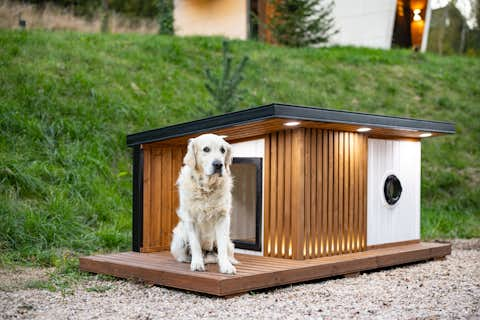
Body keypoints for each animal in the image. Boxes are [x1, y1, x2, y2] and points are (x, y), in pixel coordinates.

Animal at [172, 134, 239, 274]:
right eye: (206, 149)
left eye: (223, 150)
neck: (207, 188)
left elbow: (222, 248)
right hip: (179, 239)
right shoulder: (191, 219)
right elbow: (195, 244)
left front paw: (226, 266)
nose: (218, 164)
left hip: (229, 243)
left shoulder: (222, 217)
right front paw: (197, 264)